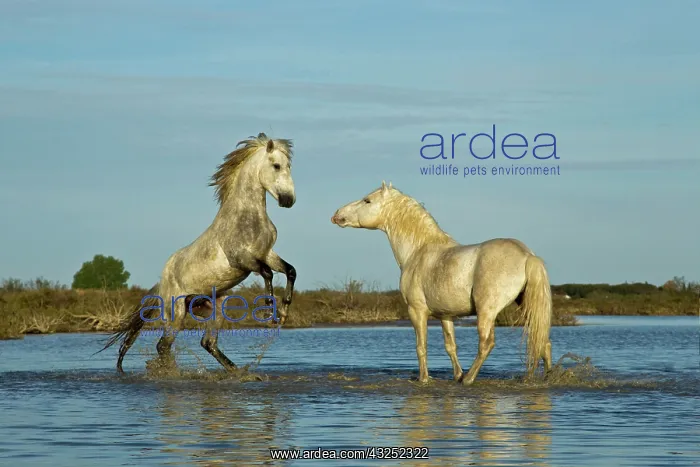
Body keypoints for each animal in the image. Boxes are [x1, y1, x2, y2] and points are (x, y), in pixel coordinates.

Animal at [98, 133, 298, 374]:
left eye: (288, 166)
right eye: (276, 165)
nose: (288, 201)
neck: (247, 217)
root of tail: (162, 282)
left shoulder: (266, 253)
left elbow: (290, 270)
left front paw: (284, 311)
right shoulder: (242, 258)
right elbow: (268, 273)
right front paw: (270, 312)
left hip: (216, 306)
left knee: (208, 342)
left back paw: (238, 373)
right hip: (175, 313)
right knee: (164, 345)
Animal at [330, 181, 553, 385]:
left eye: (367, 200)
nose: (337, 215)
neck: (418, 251)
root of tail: (527, 255)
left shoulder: (417, 311)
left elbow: (421, 347)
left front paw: (424, 379)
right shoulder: (446, 315)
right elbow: (450, 346)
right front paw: (456, 375)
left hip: (486, 311)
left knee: (486, 343)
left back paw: (469, 380)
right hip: (526, 306)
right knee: (543, 340)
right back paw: (547, 376)